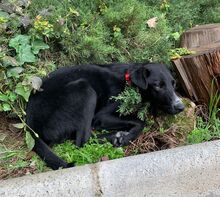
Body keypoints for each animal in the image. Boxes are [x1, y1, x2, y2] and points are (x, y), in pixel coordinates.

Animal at [25, 63, 184, 169]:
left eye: (173, 83)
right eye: (158, 85)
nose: (181, 107)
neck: (128, 82)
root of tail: (29, 125)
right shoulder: (101, 116)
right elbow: (140, 121)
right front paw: (127, 136)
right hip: (84, 89)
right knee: (82, 141)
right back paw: (115, 137)